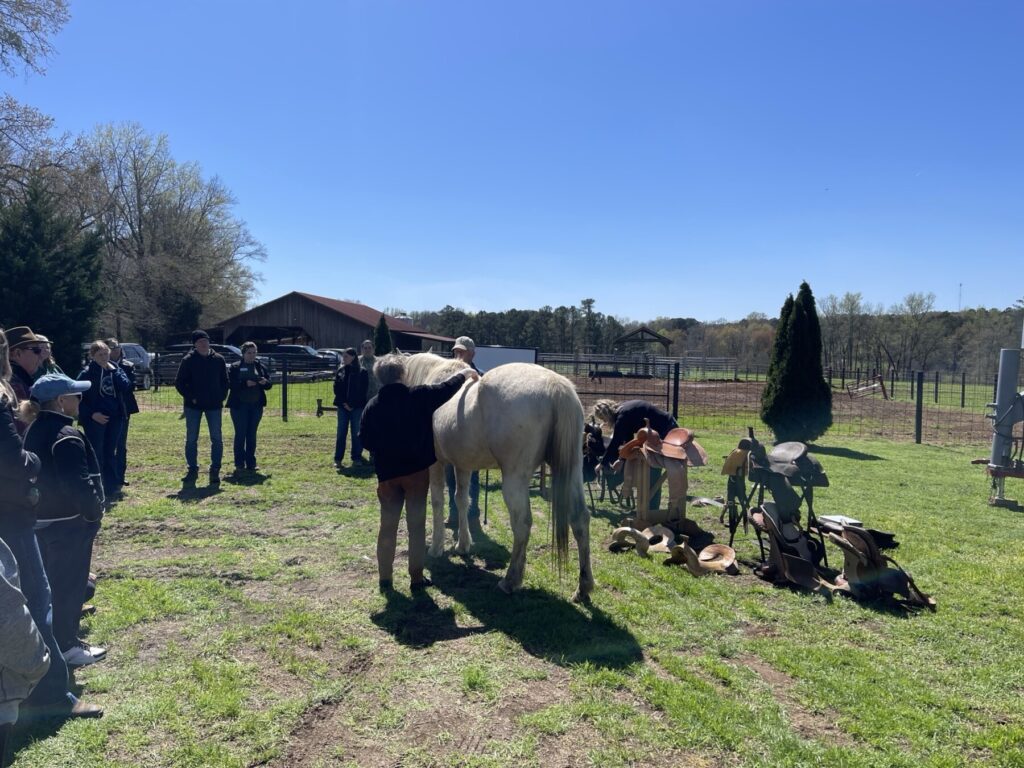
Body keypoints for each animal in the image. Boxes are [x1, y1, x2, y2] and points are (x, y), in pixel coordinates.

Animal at [403, 353, 594, 603]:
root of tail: (556, 386)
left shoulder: (437, 464)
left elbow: (438, 502)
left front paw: (436, 548)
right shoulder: (463, 465)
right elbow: (461, 500)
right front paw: (463, 544)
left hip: (514, 478)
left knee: (522, 524)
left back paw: (510, 580)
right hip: (571, 470)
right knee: (580, 519)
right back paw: (583, 588)